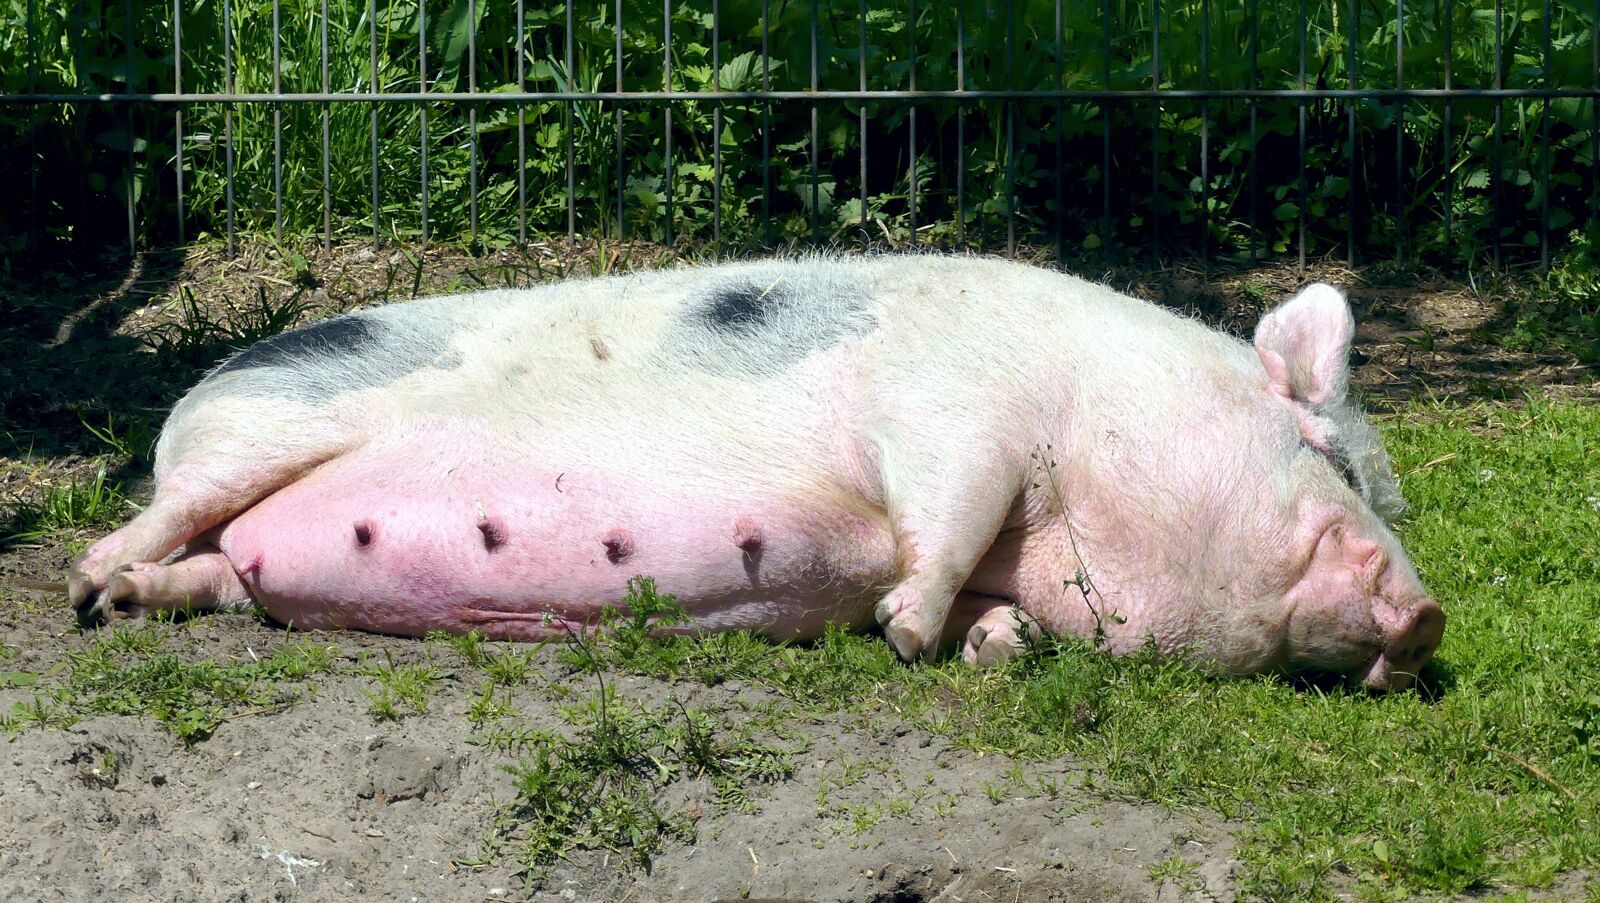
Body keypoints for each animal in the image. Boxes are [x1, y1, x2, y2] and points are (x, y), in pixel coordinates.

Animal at [66, 255, 1444, 690]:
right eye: (1328, 458)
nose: (1427, 615)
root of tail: (199, 389)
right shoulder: (958, 410)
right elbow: (947, 511)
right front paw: (906, 630)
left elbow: (990, 597)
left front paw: (983, 649)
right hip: (250, 440)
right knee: (156, 518)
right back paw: (88, 590)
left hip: (247, 541)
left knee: (224, 574)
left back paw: (134, 602)